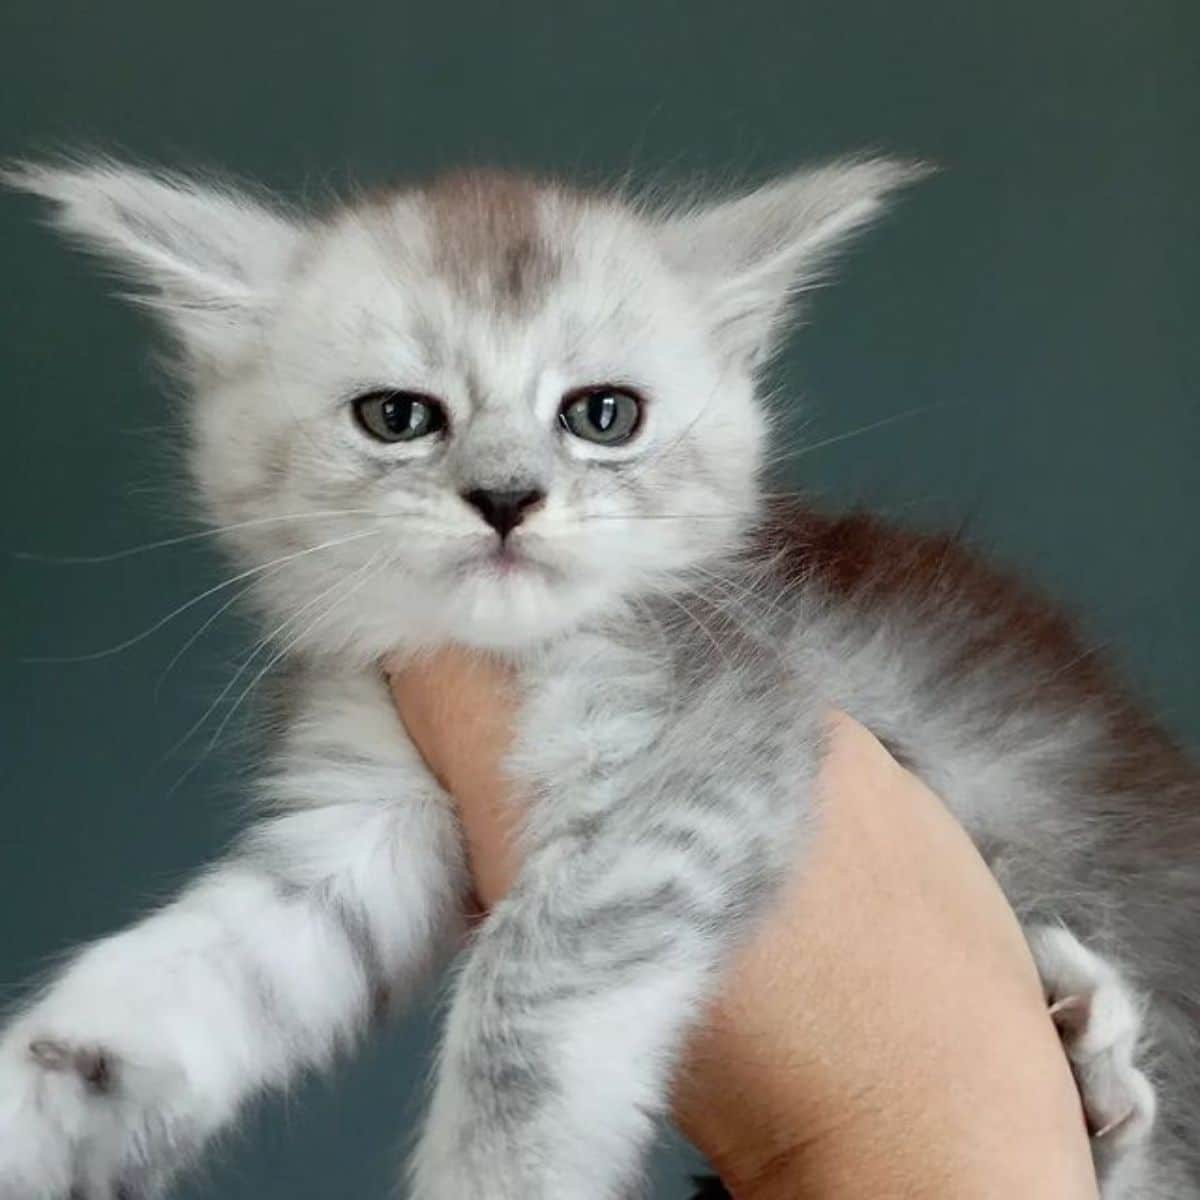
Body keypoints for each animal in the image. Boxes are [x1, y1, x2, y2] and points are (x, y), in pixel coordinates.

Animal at [2, 159, 1200, 1200]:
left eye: (602, 415)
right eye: (397, 416)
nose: (505, 498)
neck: (515, 657)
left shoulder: (700, 761)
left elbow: (528, 999)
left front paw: (496, 1177)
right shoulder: (366, 819)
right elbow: (198, 974)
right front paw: (44, 1100)